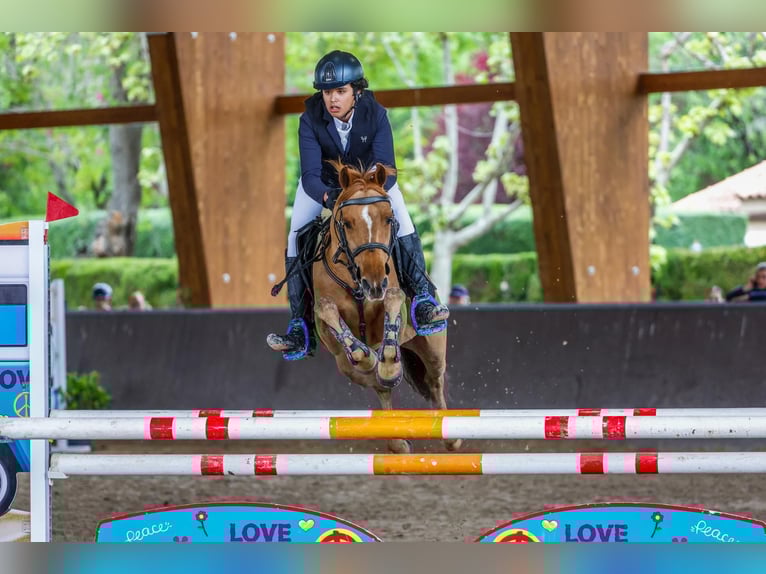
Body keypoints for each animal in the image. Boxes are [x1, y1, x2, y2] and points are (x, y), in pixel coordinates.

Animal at [311, 160, 462, 454]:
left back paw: (450, 435)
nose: (373, 282)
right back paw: (396, 439)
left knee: (434, 381)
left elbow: (393, 300)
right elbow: (329, 313)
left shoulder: (391, 299)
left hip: (432, 346)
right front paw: (376, 360)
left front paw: (389, 363)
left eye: (388, 219)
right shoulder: (329, 330)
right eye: (347, 223)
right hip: (344, 366)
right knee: (378, 386)